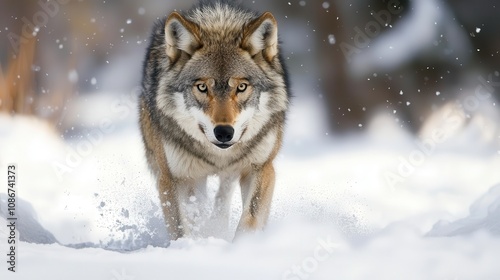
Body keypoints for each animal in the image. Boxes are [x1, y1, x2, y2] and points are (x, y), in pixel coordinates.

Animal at [139, 1, 292, 241]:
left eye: (241, 87)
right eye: (202, 87)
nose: (224, 132)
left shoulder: (261, 168)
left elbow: (250, 219)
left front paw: (243, 245)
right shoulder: (172, 178)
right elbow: (182, 227)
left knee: (223, 194)